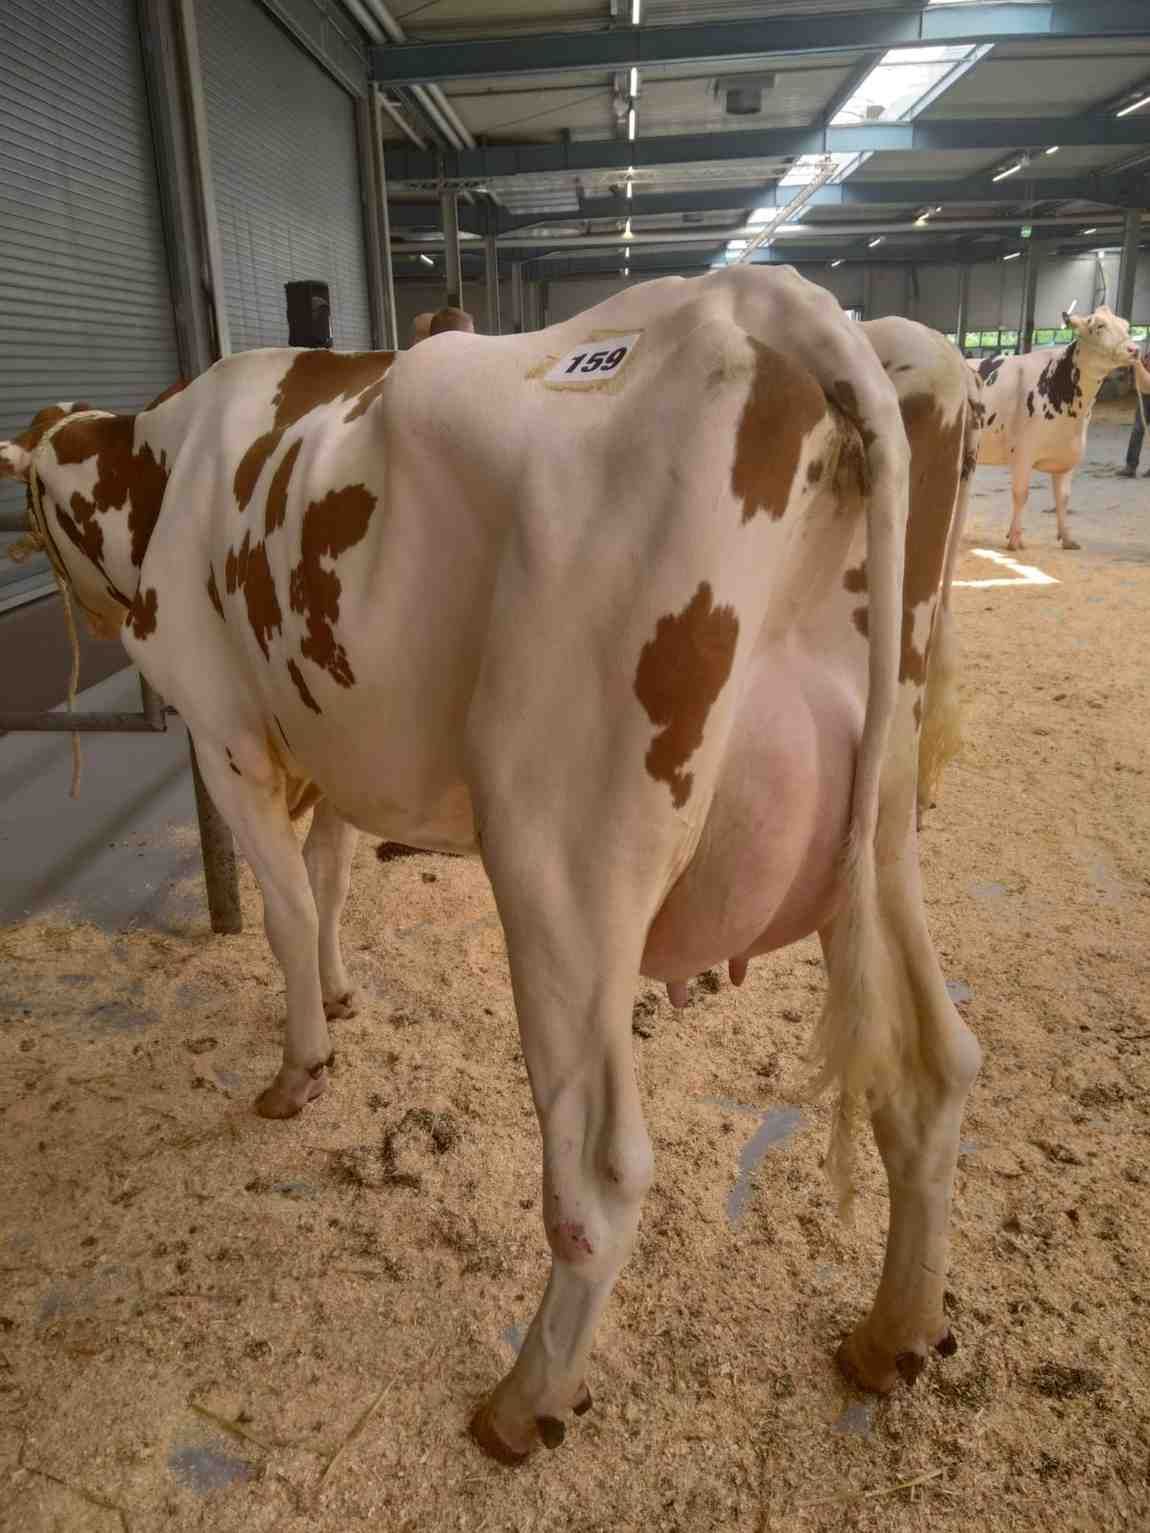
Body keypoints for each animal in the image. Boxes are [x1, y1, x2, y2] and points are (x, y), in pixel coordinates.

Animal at [1, 266, 981, 1464]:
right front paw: (341, 993)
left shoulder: (224, 726)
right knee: (931, 1072)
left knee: (601, 1170)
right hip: (879, 818)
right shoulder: (339, 738)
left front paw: (300, 1066)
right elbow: (329, 874)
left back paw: (526, 1401)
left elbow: (286, 907)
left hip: (558, 846)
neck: (171, 458)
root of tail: (769, 301)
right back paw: (895, 1332)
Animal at [972, 304, 1140, 551]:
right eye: (1099, 325)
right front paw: (1015, 539)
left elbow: (1063, 498)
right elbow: (1021, 494)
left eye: (1127, 325)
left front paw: (1067, 538)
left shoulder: (1068, 456)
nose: (1135, 349)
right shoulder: (1022, 453)